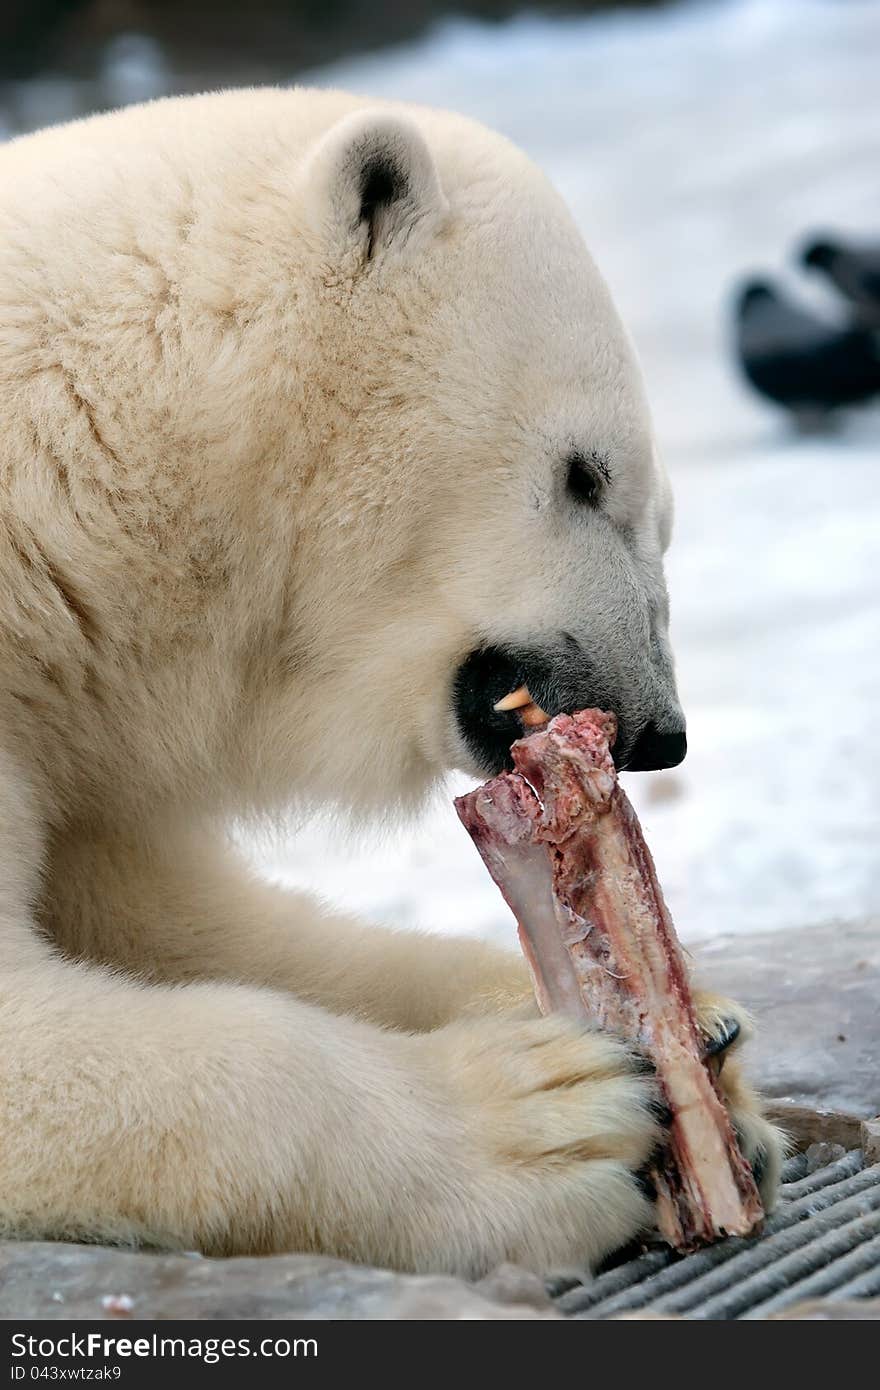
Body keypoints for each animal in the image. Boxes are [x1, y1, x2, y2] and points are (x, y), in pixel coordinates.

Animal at [0, 89, 784, 1273]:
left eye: (662, 514)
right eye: (583, 474)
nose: (659, 731)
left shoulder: (76, 728)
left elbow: (184, 923)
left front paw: (712, 1048)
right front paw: (545, 1120)